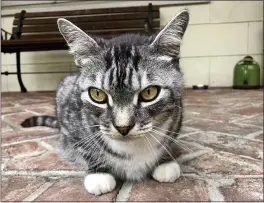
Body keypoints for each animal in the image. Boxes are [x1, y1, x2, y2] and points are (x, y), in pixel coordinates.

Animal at [21, 8, 190, 196]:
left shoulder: (178, 115)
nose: (123, 127)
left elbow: (170, 139)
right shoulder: (70, 118)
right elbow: (85, 146)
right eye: (97, 94)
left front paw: (165, 161)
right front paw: (98, 174)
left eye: (149, 93)